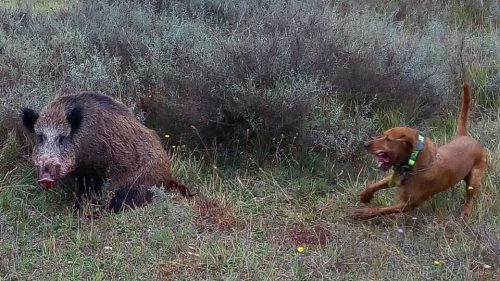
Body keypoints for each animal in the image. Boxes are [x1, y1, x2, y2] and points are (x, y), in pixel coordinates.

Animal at [352, 83, 488, 219]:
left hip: (474, 179)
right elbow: (375, 185)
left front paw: (365, 213)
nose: (365, 144)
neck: (414, 162)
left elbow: (383, 210)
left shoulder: (408, 204)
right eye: (382, 135)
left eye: (388, 139)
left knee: (471, 196)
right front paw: (365, 196)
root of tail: (467, 137)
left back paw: (466, 210)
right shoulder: (396, 178)